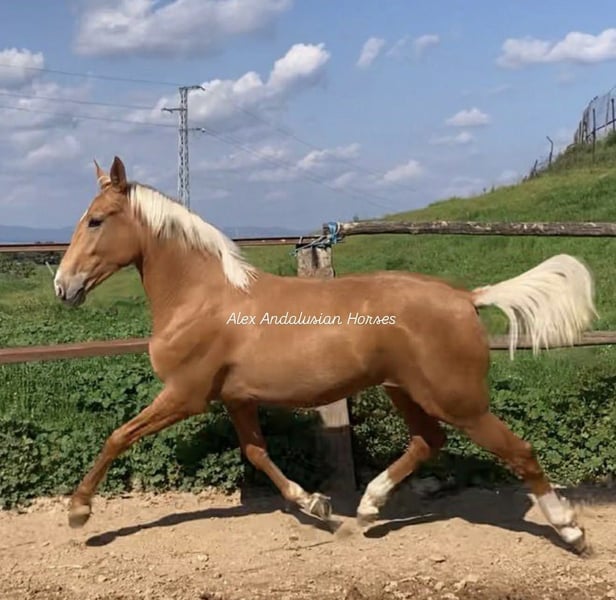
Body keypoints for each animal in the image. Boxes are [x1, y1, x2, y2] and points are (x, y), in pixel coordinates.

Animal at [54, 156, 597, 554]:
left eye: (96, 220)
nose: (63, 287)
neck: (204, 298)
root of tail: (466, 297)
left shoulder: (185, 395)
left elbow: (117, 436)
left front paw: (79, 512)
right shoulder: (237, 398)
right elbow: (257, 452)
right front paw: (315, 504)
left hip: (460, 401)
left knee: (519, 451)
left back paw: (570, 530)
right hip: (405, 391)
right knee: (428, 441)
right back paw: (369, 507)